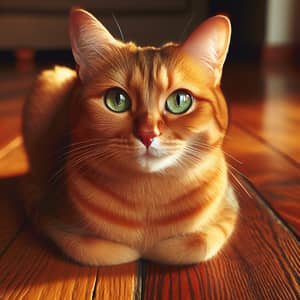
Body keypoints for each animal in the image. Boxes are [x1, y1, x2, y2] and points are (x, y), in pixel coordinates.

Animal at [22, 8, 239, 264]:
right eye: (117, 100)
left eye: (180, 101)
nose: (147, 134)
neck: (148, 199)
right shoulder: (52, 217)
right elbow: (91, 248)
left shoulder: (228, 209)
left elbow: (197, 244)